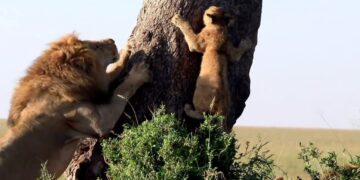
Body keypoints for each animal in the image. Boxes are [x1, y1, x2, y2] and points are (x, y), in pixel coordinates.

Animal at [0, 34, 150, 179]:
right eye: (96, 46)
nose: (112, 40)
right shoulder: (98, 123)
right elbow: (121, 90)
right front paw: (139, 72)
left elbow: (113, 72)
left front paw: (126, 50)